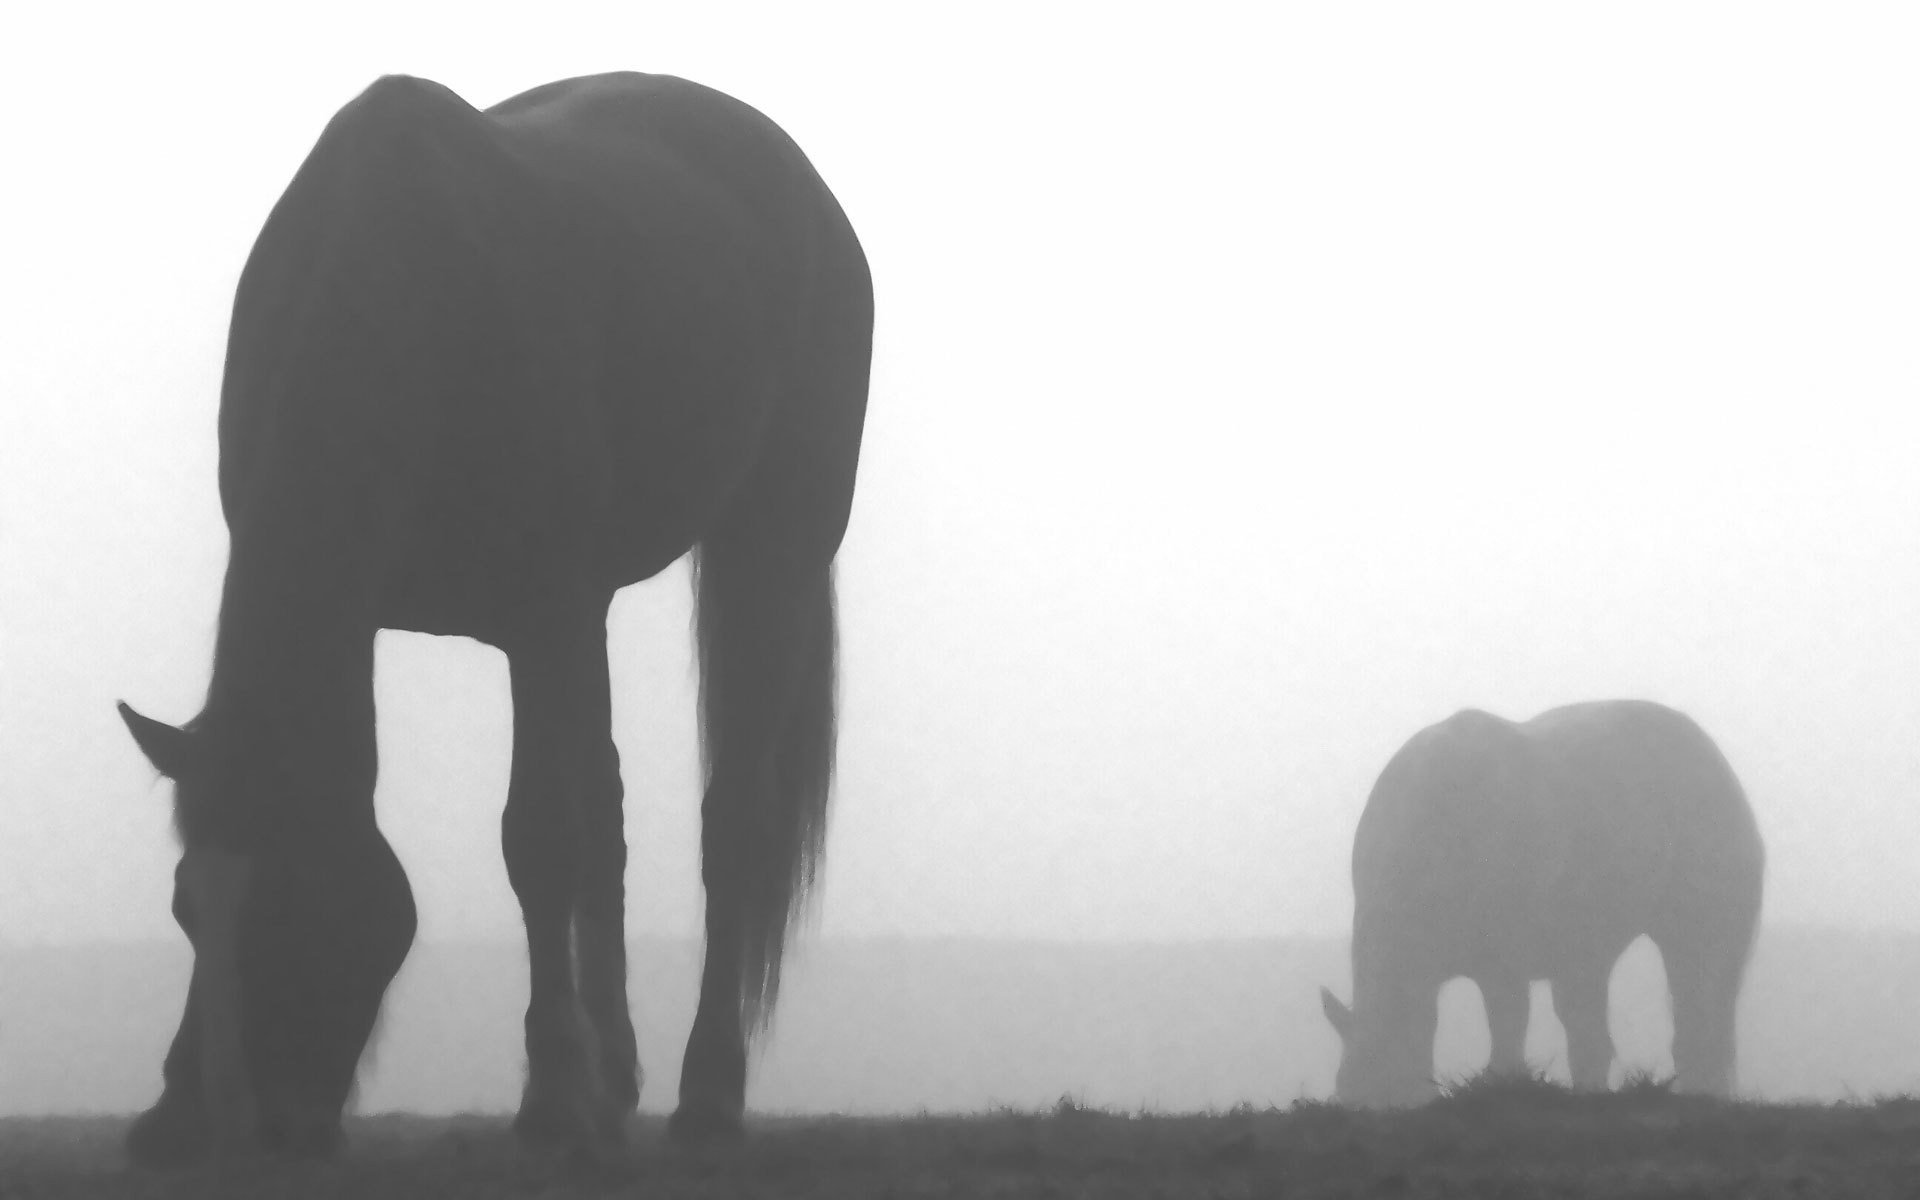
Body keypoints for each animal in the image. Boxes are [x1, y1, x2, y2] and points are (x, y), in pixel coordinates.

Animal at [114, 72, 879, 1159]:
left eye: (297, 904)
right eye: (186, 908)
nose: (228, 1129)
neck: (405, 288)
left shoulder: (542, 614)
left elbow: (541, 841)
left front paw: (554, 1096)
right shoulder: (511, 618)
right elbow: (577, 833)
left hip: (766, 550)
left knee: (730, 821)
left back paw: (705, 1097)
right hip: (593, 618)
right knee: (611, 813)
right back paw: (620, 1081)